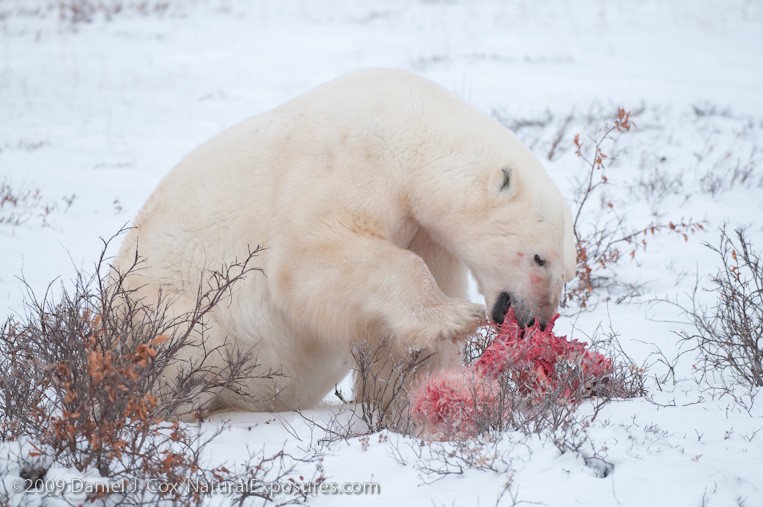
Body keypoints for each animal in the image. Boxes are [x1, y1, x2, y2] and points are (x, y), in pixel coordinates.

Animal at [113, 68, 577, 425]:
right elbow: (312, 252)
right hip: (161, 313)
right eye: (539, 257)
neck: (408, 124)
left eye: (568, 272)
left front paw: (423, 398)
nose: (537, 323)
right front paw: (456, 317)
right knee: (191, 345)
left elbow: (396, 336)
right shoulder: (350, 157)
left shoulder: (423, 229)